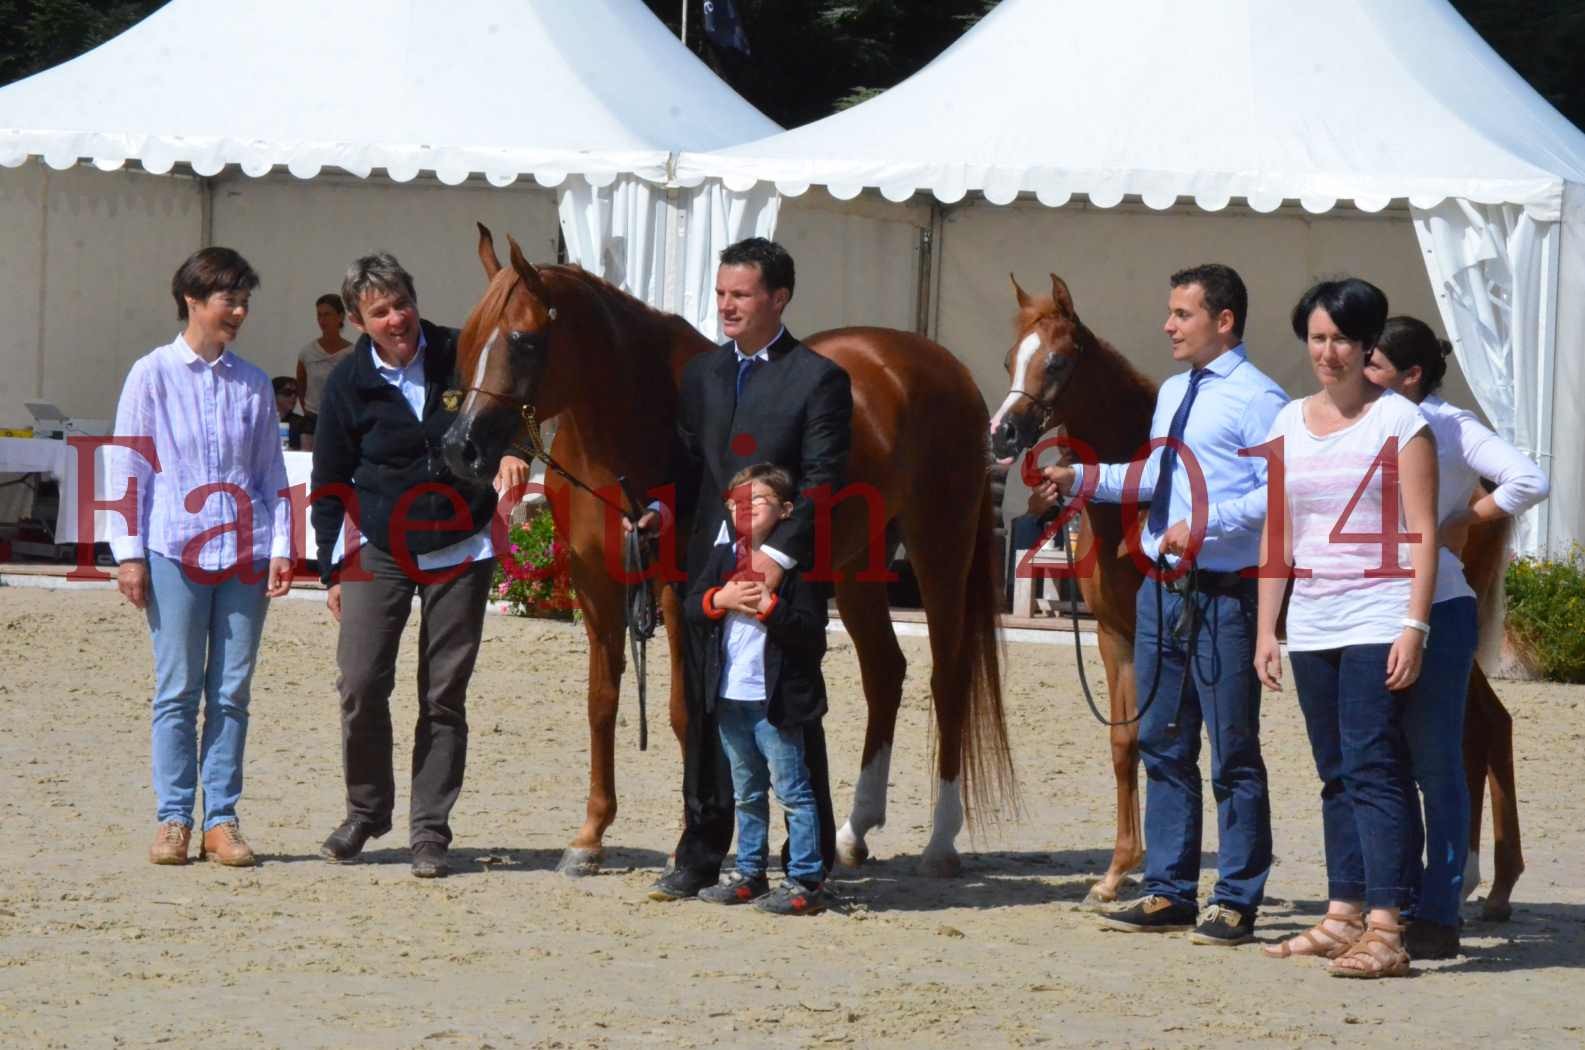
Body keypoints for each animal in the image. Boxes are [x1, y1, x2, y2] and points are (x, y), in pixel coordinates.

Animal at [440, 228, 1008, 881]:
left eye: (525, 340)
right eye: (469, 338)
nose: (461, 447)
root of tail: (943, 367)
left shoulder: (679, 588)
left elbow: (687, 712)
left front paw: (693, 840)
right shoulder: (595, 585)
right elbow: (602, 702)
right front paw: (589, 838)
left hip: (941, 549)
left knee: (948, 678)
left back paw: (940, 842)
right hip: (858, 566)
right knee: (885, 672)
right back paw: (851, 835)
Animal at [995, 272, 1527, 919]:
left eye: (1056, 360)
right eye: (1010, 358)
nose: (1003, 433)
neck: (1138, 501)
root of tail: (1474, 490)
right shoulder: (1117, 636)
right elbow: (1125, 745)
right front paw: (1117, 873)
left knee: (1479, 733)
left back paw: (1475, 883)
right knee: (1486, 729)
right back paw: (1484, 886)